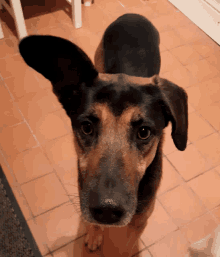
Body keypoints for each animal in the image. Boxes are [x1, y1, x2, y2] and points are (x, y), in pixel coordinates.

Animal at [18, 13, 187, 256]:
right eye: (87, 127)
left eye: (144, 132)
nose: (107, 210)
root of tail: (132, 15)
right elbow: (92, 223)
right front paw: (94, 234)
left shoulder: (139, 221)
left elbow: (126, 246)